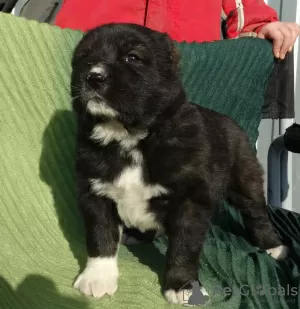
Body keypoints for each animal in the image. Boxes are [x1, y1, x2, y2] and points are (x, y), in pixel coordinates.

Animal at [71, 24, 288, 304]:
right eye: (85, 59)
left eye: (132, 57)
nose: (93, 77)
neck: (132, 138)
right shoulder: (96, 193)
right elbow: (100, 235)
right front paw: (97, 277)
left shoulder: (190, 200)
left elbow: (184, 247)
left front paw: (182, 286)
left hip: (245, 178)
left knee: (257, 213)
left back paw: (274, 246)